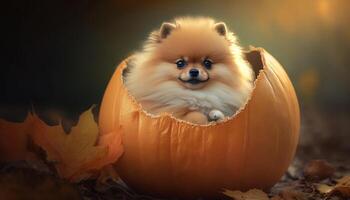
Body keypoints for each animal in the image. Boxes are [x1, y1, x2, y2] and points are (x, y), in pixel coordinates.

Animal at [123, 16, 254, 124]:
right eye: (180, 63)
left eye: (207, 63)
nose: (194, 71)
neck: (195, 95)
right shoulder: (164, 110)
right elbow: (193, 114)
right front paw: (201, 118)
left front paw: (216, 115)